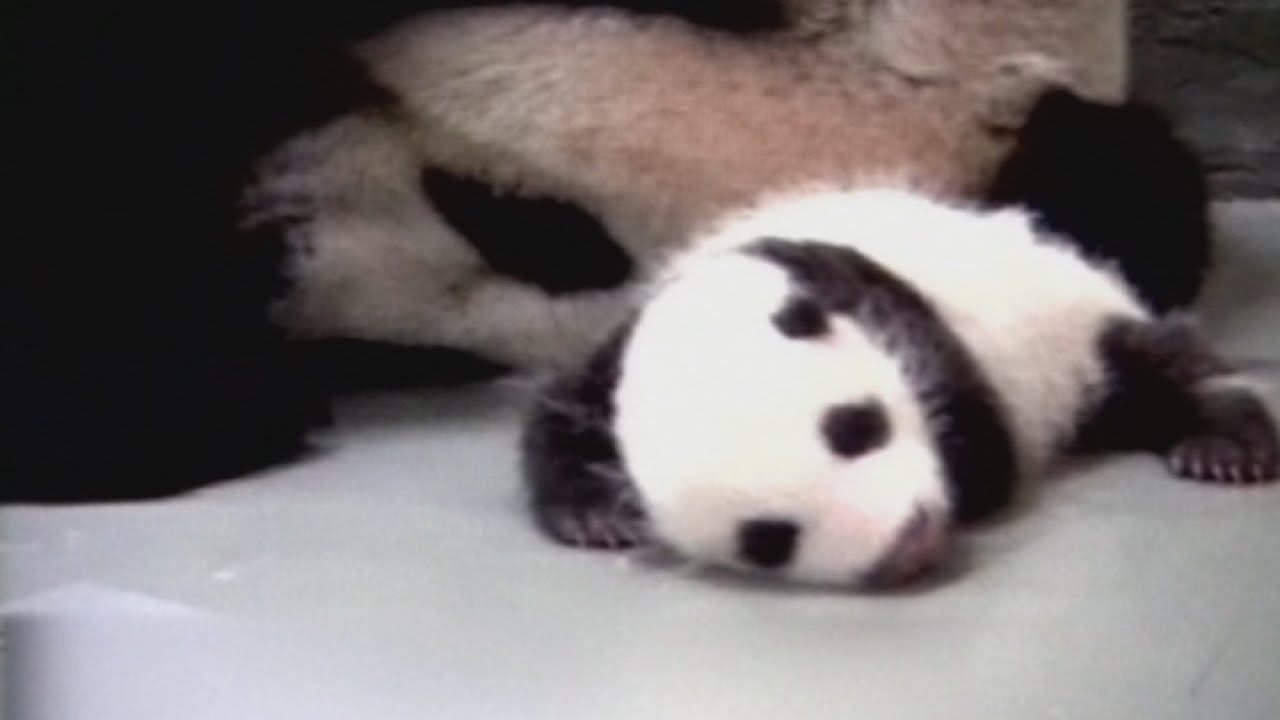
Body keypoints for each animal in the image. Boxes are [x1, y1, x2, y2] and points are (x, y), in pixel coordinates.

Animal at [520, 186, 1278, 588]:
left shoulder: (899, 309)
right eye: (769, 539)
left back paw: (1224, 445)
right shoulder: (612, 360)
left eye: (854, 428)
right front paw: (597, 516)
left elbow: (982, 444)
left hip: (1075, 322)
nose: (910, 538)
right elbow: (560, 412)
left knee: (1157, 366)